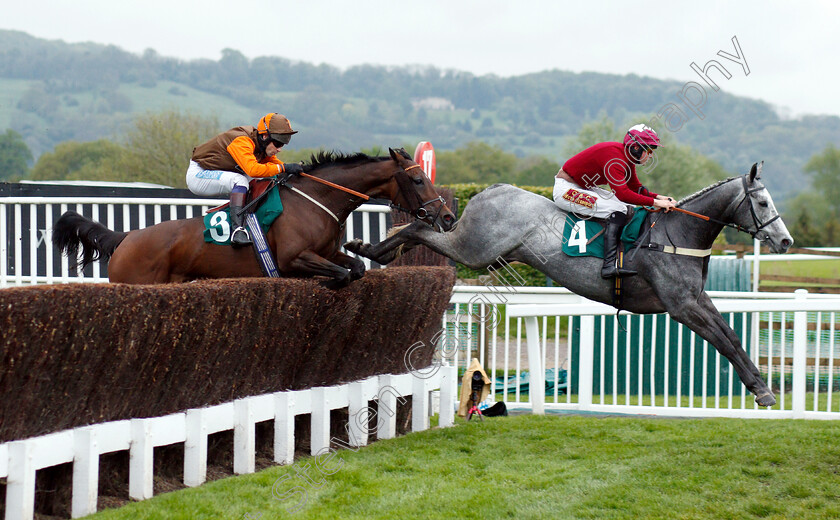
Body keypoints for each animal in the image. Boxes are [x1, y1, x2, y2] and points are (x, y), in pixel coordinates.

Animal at [54, 148, 452, 286]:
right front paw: (328, 283)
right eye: (418, 179)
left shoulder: (327, 252)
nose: (447, 216)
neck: (317, 199)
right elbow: (341, 274)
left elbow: (355, 267)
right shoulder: (293, 258)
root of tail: (125, 238)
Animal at [346, 162, 796, 406]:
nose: (786, 242)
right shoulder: (681, 306)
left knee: (419, 231)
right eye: (761, 202)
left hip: (482, 252)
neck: (677, 234)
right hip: (473, 250)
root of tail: (492, 189)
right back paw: (366, 247)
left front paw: (762, 388)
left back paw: (372, 249)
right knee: (420, 229)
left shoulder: (696, 300)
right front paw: (762, 391)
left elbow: (731, 336)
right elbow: (724, 341)